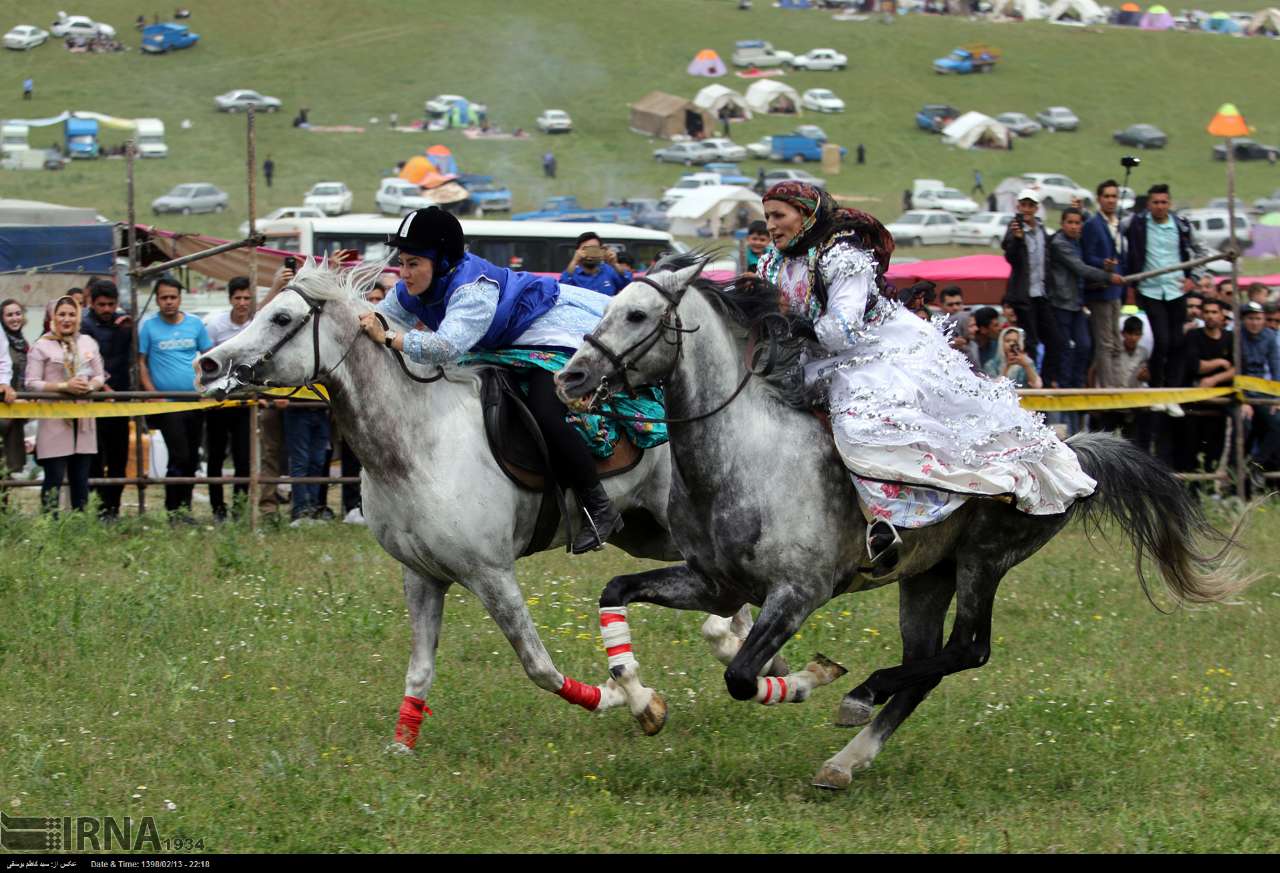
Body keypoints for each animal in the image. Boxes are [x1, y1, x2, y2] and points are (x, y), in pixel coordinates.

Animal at [197, 257, 711, 742]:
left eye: (281, 318)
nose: (207, 364)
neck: (417, 442)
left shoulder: (492, 574)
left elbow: (539, 666)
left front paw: (627, 699)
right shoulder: (421, 576)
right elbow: (420, 671)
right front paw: (402, 746)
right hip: (647, 533)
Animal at [552, 257, 1249, 788]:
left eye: (637, 315)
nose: (572, 376)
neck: (743, 459)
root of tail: (1072, 453)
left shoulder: (798, 593)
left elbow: (743, 677)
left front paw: (814, 678)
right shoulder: (711, 583)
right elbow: (616, 593)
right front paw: (638, 698)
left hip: (983, 561)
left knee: (966, 650)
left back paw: (861, 696)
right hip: (925, 578)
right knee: (929, 665)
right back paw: (845, 760)